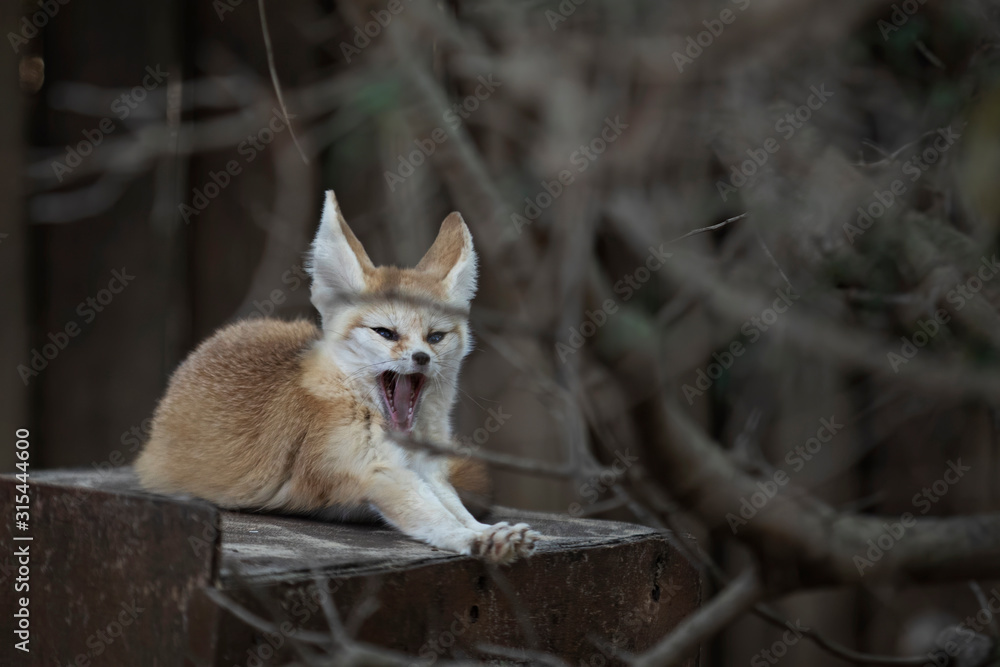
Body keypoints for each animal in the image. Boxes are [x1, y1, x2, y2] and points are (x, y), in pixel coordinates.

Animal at [135, 191, 540, 563]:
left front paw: (487, 530)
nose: (422, 357)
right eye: (386, 332)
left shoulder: (429, 472)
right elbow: (438, 518)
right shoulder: (374, 474)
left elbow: (458, 510)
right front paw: (476, 540)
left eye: (435, 337)